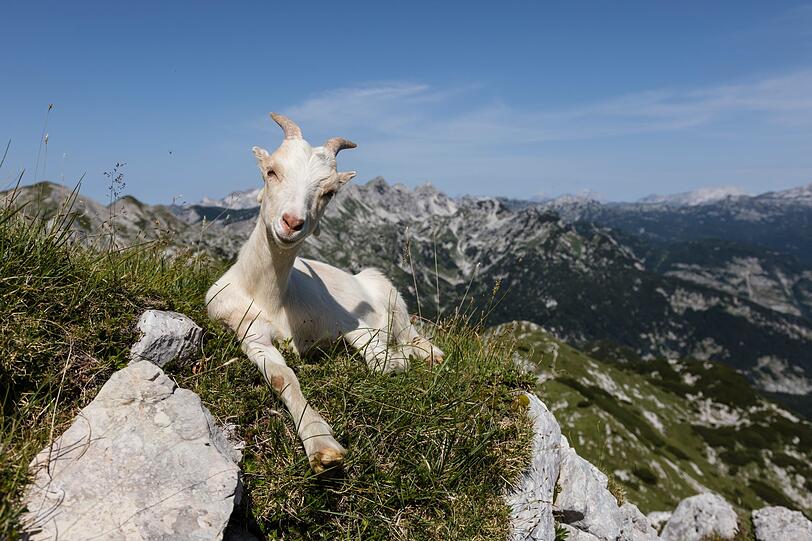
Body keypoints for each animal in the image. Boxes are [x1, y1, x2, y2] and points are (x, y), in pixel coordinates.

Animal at [206, 113, 444, 472]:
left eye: (329, 191)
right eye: (272, 171)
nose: (292, 223)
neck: (272, 296)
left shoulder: (348, 323)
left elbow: (382, 361)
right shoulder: (248, 331)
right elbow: (282, 377)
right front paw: (321, 444)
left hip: (389, 293)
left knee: (417, 339)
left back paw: (427, 354)